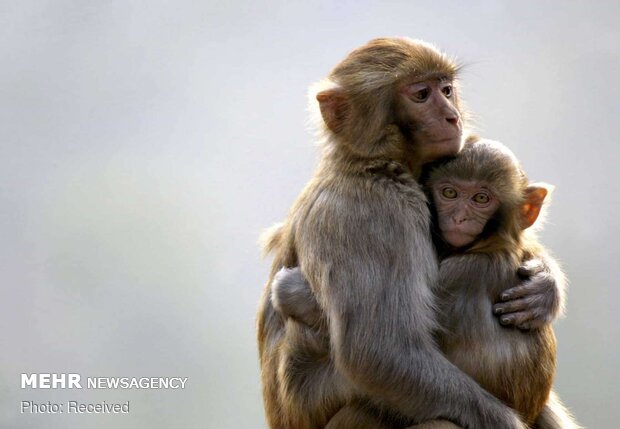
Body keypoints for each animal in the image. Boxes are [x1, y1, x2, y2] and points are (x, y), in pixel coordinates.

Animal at [254, 37, 564, 428]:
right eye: (420, 95)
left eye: (446, 90)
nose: (452, 117)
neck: (367, 162)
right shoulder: (377, 212)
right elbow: (380, 352)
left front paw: (544, 285)